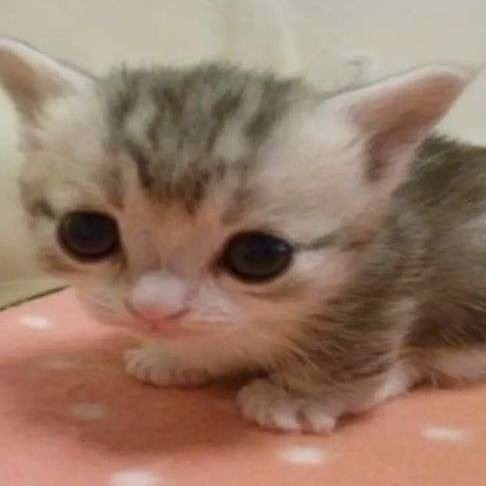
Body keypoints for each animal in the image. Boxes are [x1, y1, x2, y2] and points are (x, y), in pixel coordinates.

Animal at [0, 37, 484, 434]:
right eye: (85, 233)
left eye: (259, 255)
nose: (153, 309)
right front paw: (178, 356)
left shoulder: (386, 273)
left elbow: (352, 343)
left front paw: (302, 394)